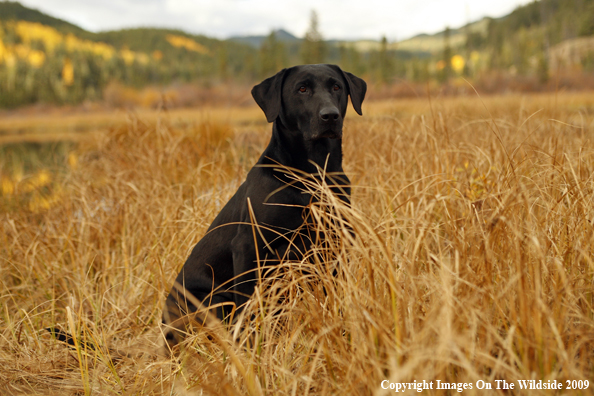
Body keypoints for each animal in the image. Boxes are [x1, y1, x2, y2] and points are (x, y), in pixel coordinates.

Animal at [163, 62, 366, 346]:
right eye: (302, 89)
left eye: (336, 86)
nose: (330, 116)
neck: (312, 175)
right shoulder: (248, 247)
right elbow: (247, 308)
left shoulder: (334, 243)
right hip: (213, 299)